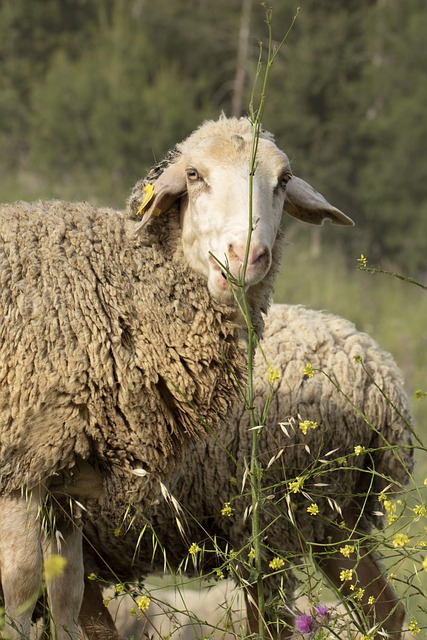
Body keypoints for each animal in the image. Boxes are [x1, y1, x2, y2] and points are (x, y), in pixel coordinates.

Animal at [0, 116, 354, 640]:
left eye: (283, 180)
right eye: (193, 175)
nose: (245, 257)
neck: (118, 289)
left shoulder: (64, 484)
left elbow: (66, 595)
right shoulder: (20, 468)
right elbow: (22, 588)